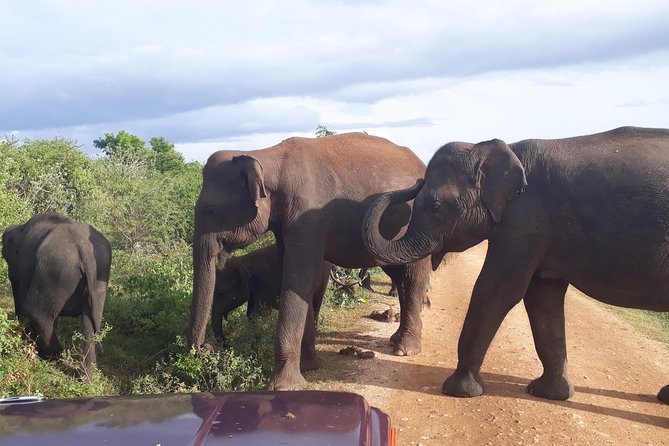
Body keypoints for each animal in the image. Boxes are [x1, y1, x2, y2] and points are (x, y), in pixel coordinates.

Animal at [1, 213, 112, 373]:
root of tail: (84, 249)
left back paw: (54, 356)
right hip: (99, 275)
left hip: (56, 270)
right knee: (89, 321)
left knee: (37, 313)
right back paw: (86, 376)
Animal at [188, 132, 431, 390]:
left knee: (413, 276)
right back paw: (397, 340)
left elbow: (298, 276)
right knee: (399, 275)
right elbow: (300, 279)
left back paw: (405, 350)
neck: (266, 156)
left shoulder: (308, 215)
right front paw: (308, 368)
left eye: (212, 211)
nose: (207, 347)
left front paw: (284, 386)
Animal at [363, 126, 669, 403]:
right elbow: (542, 297)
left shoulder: (525, 218)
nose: (415, 182)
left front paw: (458, 391)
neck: (499, 148)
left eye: (436, 206)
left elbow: (498, 290)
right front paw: (549, 394)